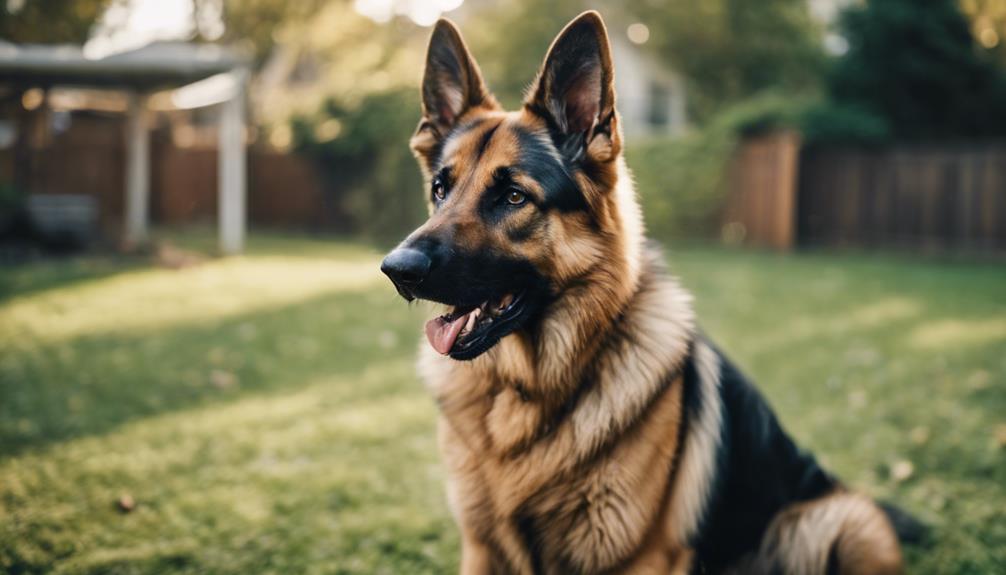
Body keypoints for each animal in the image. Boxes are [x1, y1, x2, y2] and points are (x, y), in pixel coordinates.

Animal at [380, 11, 909, 570]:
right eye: (441, 189)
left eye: (514, 196)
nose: (396, 269)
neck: (527, 394)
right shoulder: (482, 548)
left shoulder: (641, 558)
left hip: (836, 522)